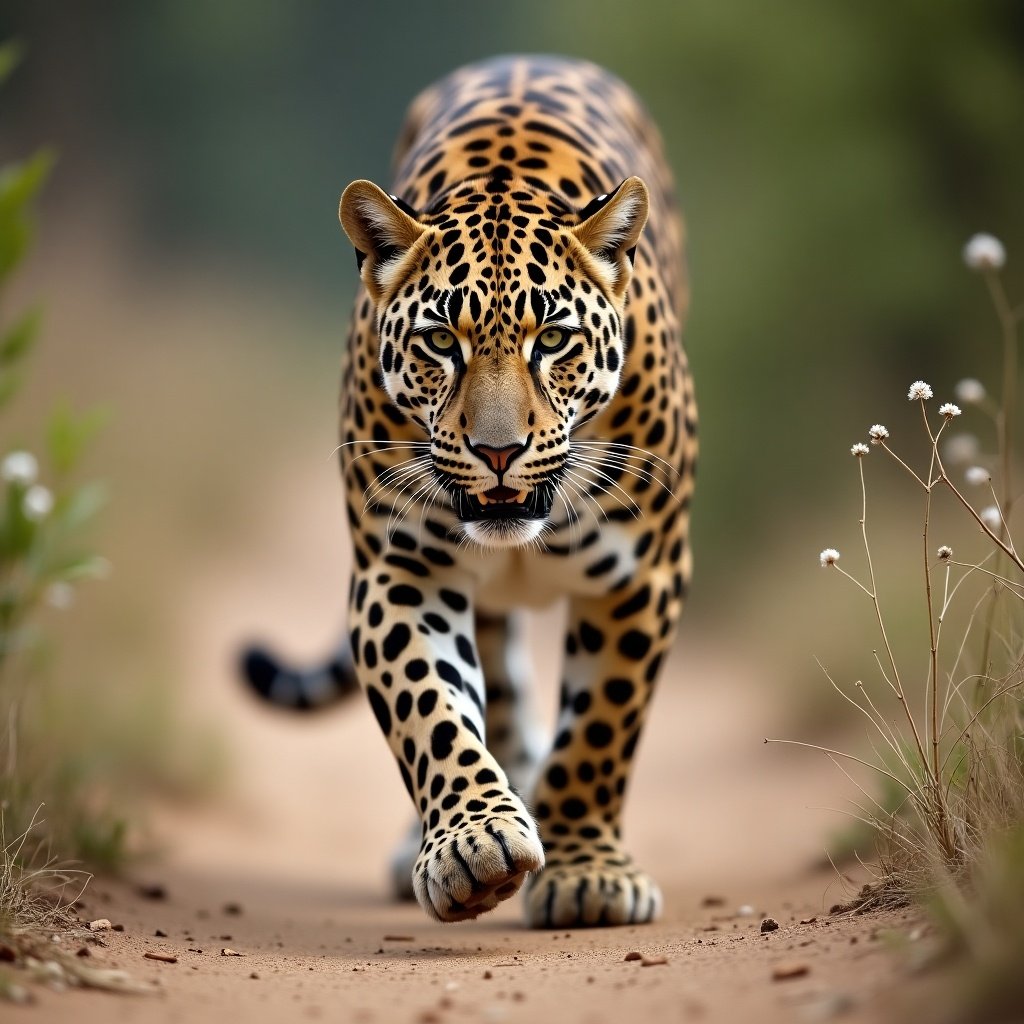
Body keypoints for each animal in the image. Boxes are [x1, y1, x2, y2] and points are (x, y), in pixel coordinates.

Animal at [243, 56, 700, 933]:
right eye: (438, 343)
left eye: (551, 339)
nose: (497, 451)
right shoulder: (400, 568)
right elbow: (430, 708)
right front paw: (473, 844)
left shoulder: (644, 573)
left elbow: (601, 727)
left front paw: (589, 874)